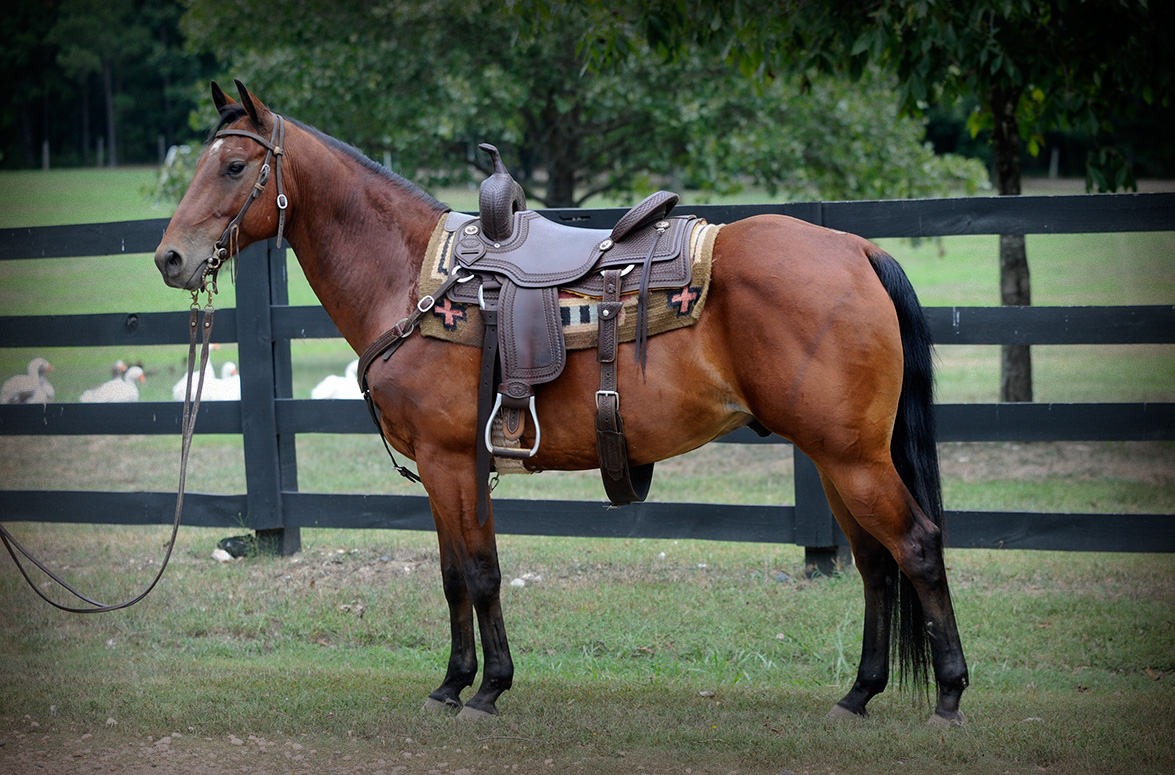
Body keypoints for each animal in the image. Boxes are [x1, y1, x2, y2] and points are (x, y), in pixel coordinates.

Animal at [153, 83, 963, 728]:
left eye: (233, 166)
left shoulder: (449, 459)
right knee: (875, 563)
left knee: (917, 546)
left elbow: (480, 571)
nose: (170, 258)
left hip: (853, 458)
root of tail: (855, 249)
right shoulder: (453, 466)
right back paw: (859, 693)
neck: (410, 278)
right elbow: (454, 573)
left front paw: (488, 689)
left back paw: (950, 695)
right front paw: (452, 683)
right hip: (836, 458)